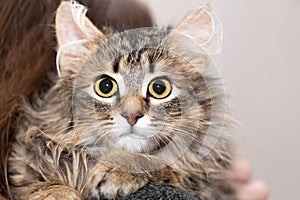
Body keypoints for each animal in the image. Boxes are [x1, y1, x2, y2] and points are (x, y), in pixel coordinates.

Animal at [7, 1, 236, 200]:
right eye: (105, 86)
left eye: (159, 88)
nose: (131, 115)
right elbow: (38, 184)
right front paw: (56, 193)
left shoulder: (208, 184)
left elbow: (162, 162)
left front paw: (119, 167)